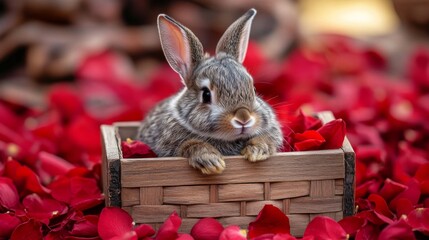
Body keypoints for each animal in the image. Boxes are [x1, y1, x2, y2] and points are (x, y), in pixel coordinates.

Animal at [139, 8, 282, 174]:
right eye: (206, 94)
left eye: (253, 88)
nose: (244, 118)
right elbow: (191, 144)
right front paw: (211, 161)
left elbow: (267, 138)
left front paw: (257, 151)